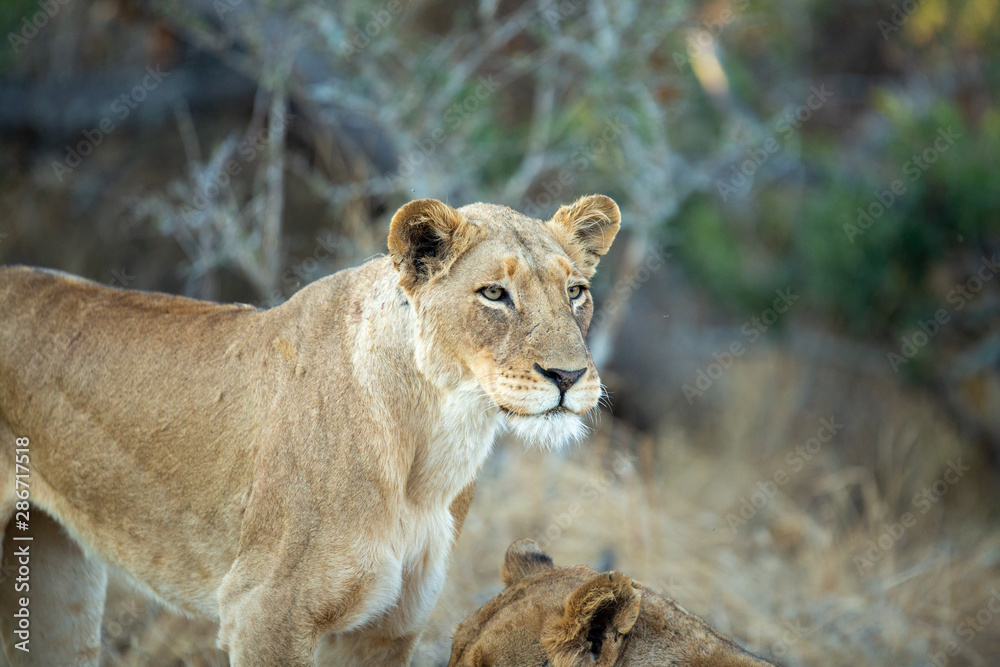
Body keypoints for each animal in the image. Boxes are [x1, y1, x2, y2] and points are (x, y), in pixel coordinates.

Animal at [0, 195, 619, 666]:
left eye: (575, 292)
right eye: (494, 293)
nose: (568, 376)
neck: (433, 449)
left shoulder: (386, 629)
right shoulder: (264, 611)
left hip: (55, 575)